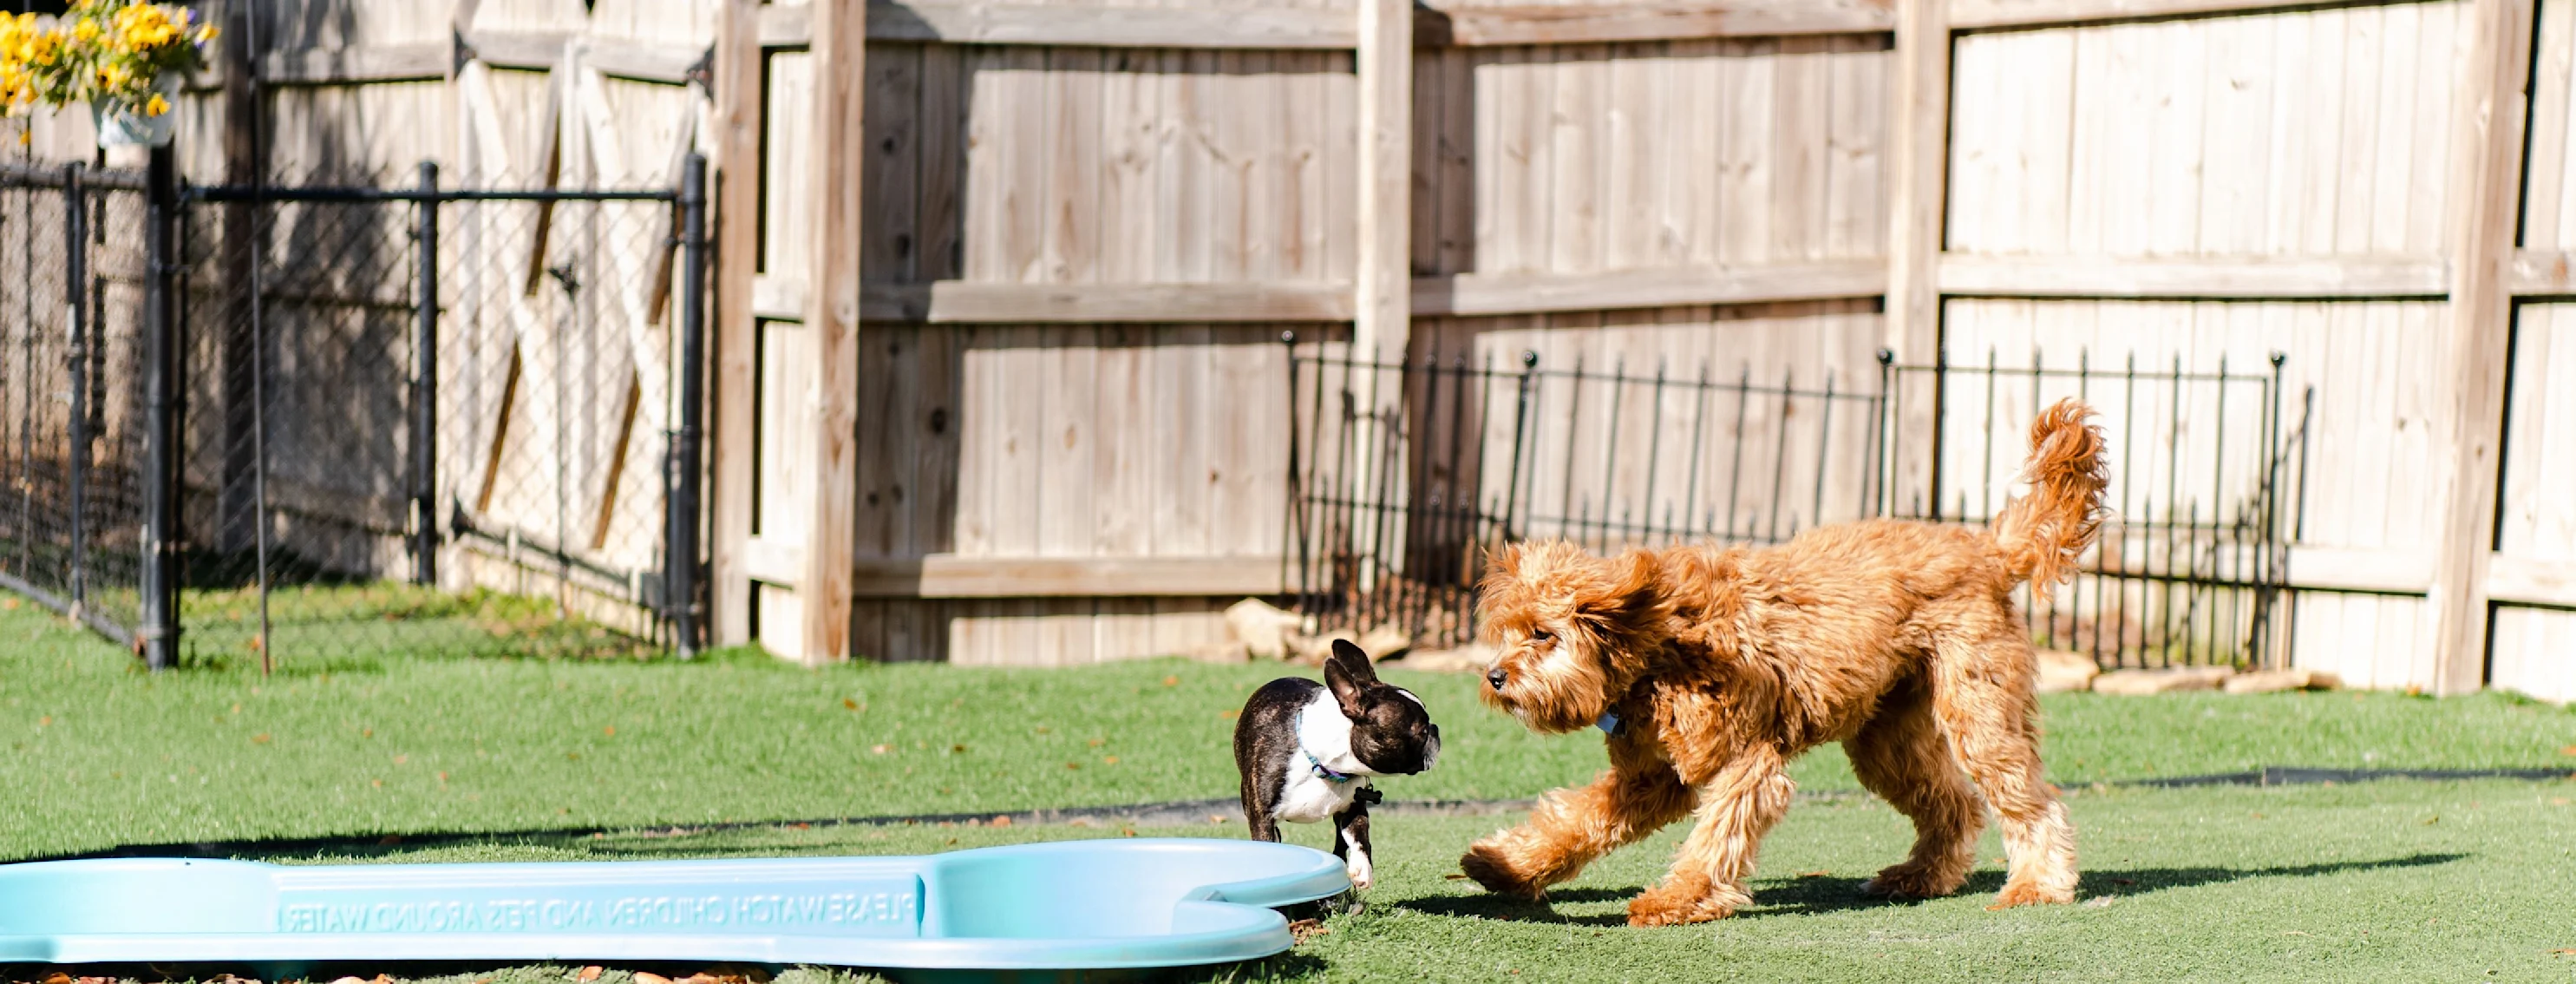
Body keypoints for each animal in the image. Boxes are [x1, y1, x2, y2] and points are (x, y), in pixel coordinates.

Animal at [1462, 397, 2102, 927]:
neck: (1658, 645)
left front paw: (1676, 900)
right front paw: (1506, 865)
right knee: (1953, 804)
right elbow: (1578, 820)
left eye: (1543, 634)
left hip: (1977, 708)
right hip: (1887, 737)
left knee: (2029, 801)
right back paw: (1919, 877)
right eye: (1507, 631)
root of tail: (1988, 550)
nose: (1494, 678)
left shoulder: (1747, 763)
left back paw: (2036, 886)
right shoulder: (1651, 778)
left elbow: (1714, 837)